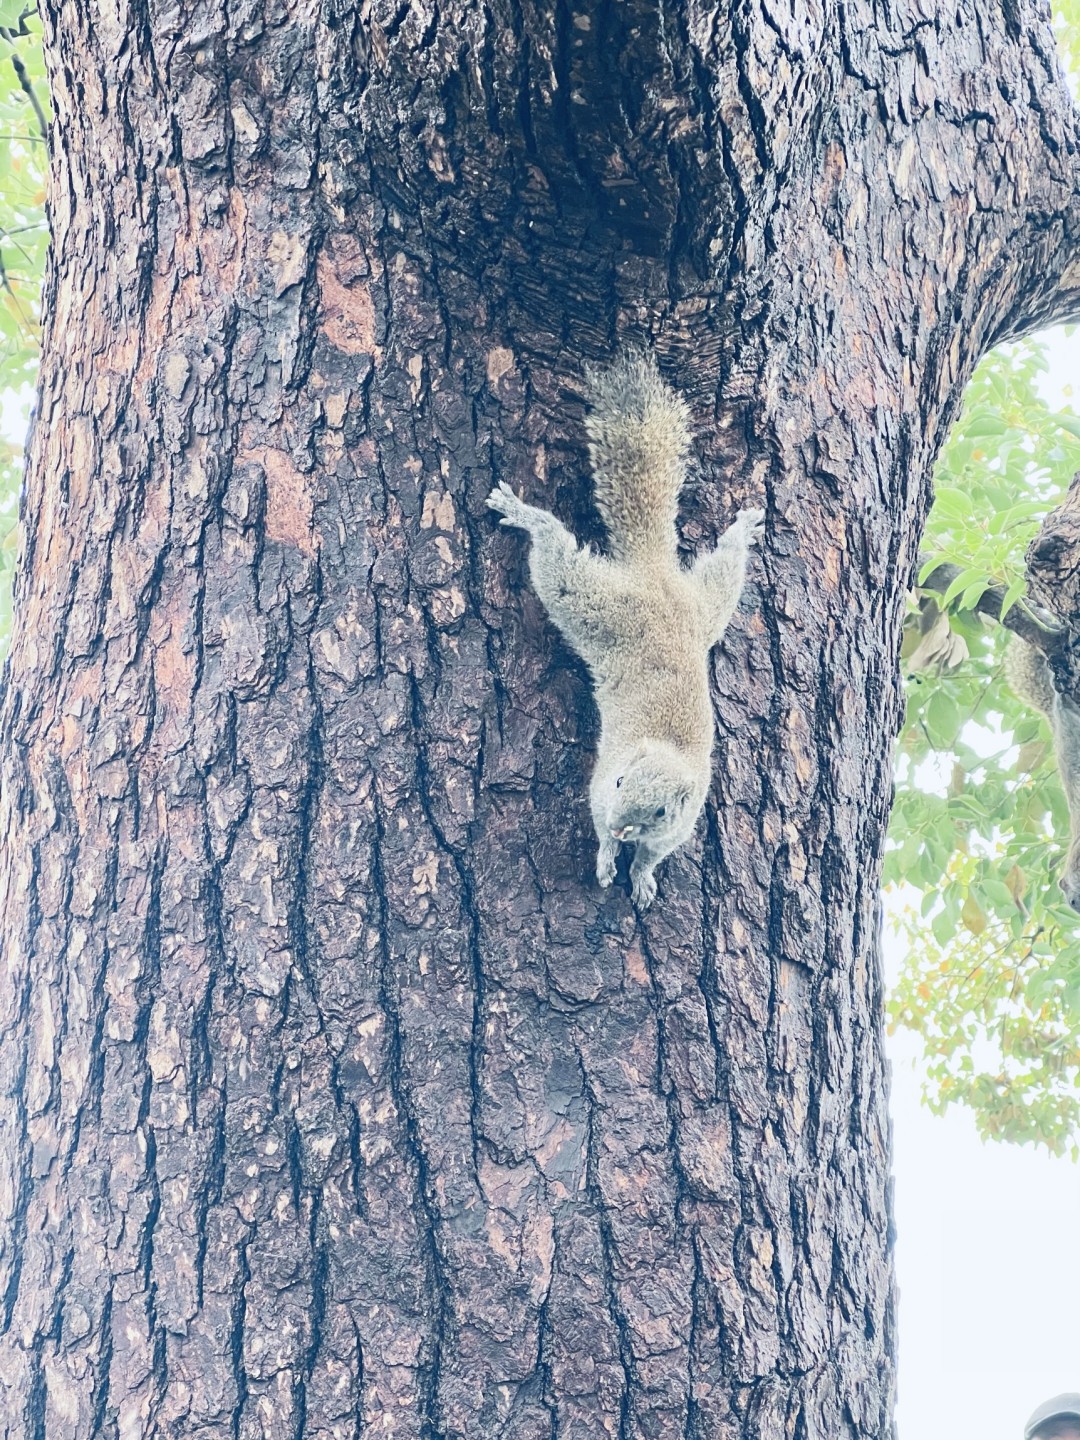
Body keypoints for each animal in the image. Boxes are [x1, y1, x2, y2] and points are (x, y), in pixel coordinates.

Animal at [486, 349, 766, 904]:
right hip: (593, 602)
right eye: (619, 784)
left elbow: (655, 854)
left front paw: (640, 876)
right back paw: (524, 514)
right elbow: (596, 820)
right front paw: (605, 855)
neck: (666, 753)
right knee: (554, 554)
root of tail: (653, 577)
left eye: (659, 811)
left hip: (704, 608)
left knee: (725, 570)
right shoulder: (601, 786)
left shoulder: (679, 826)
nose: (622, 825)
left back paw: (741, 533)